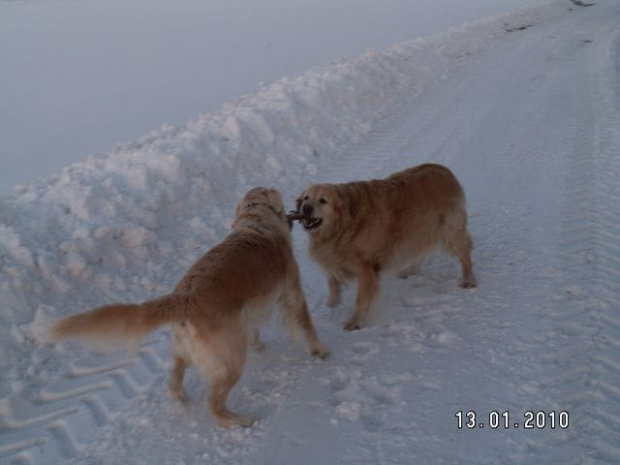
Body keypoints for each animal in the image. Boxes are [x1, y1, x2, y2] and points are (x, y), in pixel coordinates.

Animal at [49, 187, 330, 426]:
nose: (296, 211)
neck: (256, 223)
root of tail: (185, 298)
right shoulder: (292, 293)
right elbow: (305, 324)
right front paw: (320, 351)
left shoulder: (247, 312)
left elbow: (254, 329)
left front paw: (259, 344)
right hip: (230, 361)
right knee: (213, 403)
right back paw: (240, 421)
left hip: (186, 348)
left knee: (174, 374)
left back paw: (180, 396)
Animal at [296, 163, 474, 330]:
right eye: (306, 198)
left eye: (323, 200)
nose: (306, 208)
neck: (345, 225)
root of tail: (444, 169)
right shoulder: (335, 254)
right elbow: (332, 278)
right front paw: (333, 299)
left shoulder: (367, 269)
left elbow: (362, 299)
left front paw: (356, 321)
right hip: (419, 228)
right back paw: (410, 270)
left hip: (448, 228)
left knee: (464, 250)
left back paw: (468, 279)